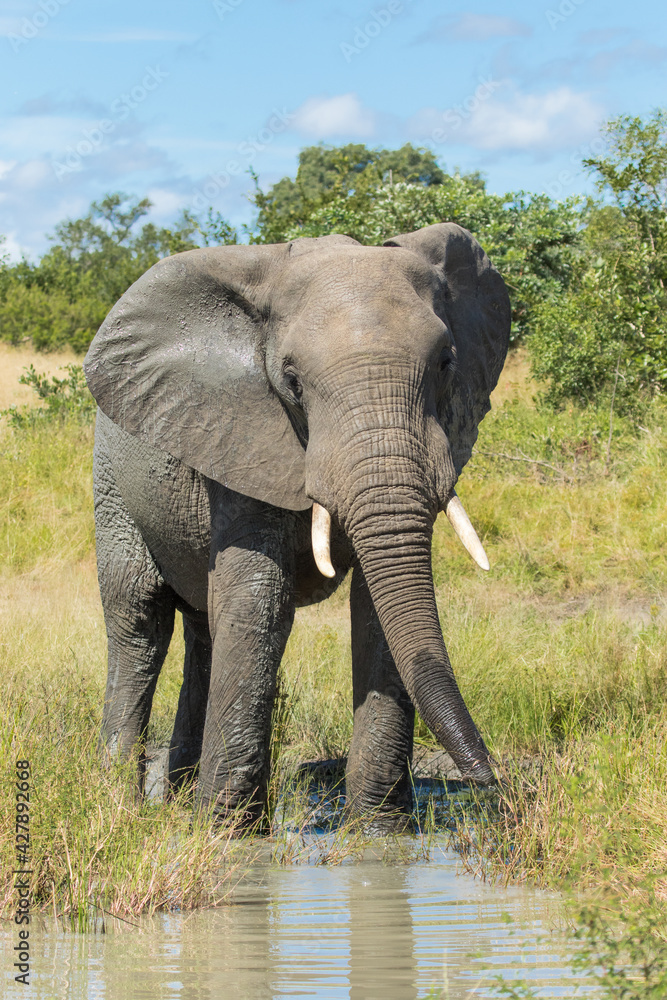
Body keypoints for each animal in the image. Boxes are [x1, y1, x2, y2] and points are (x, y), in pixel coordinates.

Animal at [83, 221, 511, 828]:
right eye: (292, 381)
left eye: (447, 363)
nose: (487, 776)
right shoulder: (240, 430)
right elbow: (261, 595)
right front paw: (229, 834)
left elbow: (379, 607)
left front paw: (380, 833)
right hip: (113, 484)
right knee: (138, 622)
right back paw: (121, 801)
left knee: (203, 630)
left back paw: (179, 798)